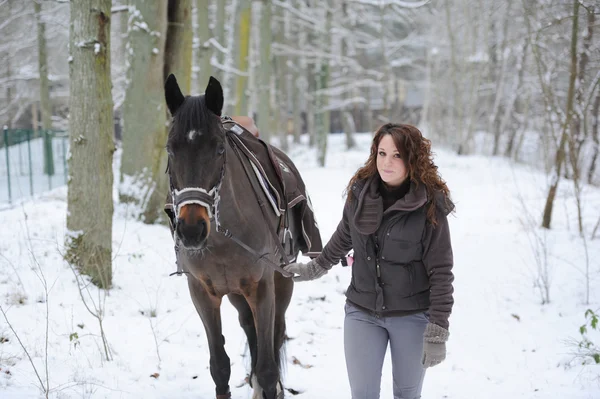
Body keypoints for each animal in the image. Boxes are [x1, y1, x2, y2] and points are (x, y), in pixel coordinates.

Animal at [164, 75, 314, 399]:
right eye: (170, 149)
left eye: (219, 149)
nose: (192, 230)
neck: (223, 239)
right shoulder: (202, 292)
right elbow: (219, 366)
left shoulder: (263, 287)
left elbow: (268, 368)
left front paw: (269, 386)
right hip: (235, 293)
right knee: (249, 327)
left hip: (281, 282)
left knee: (275, 332)